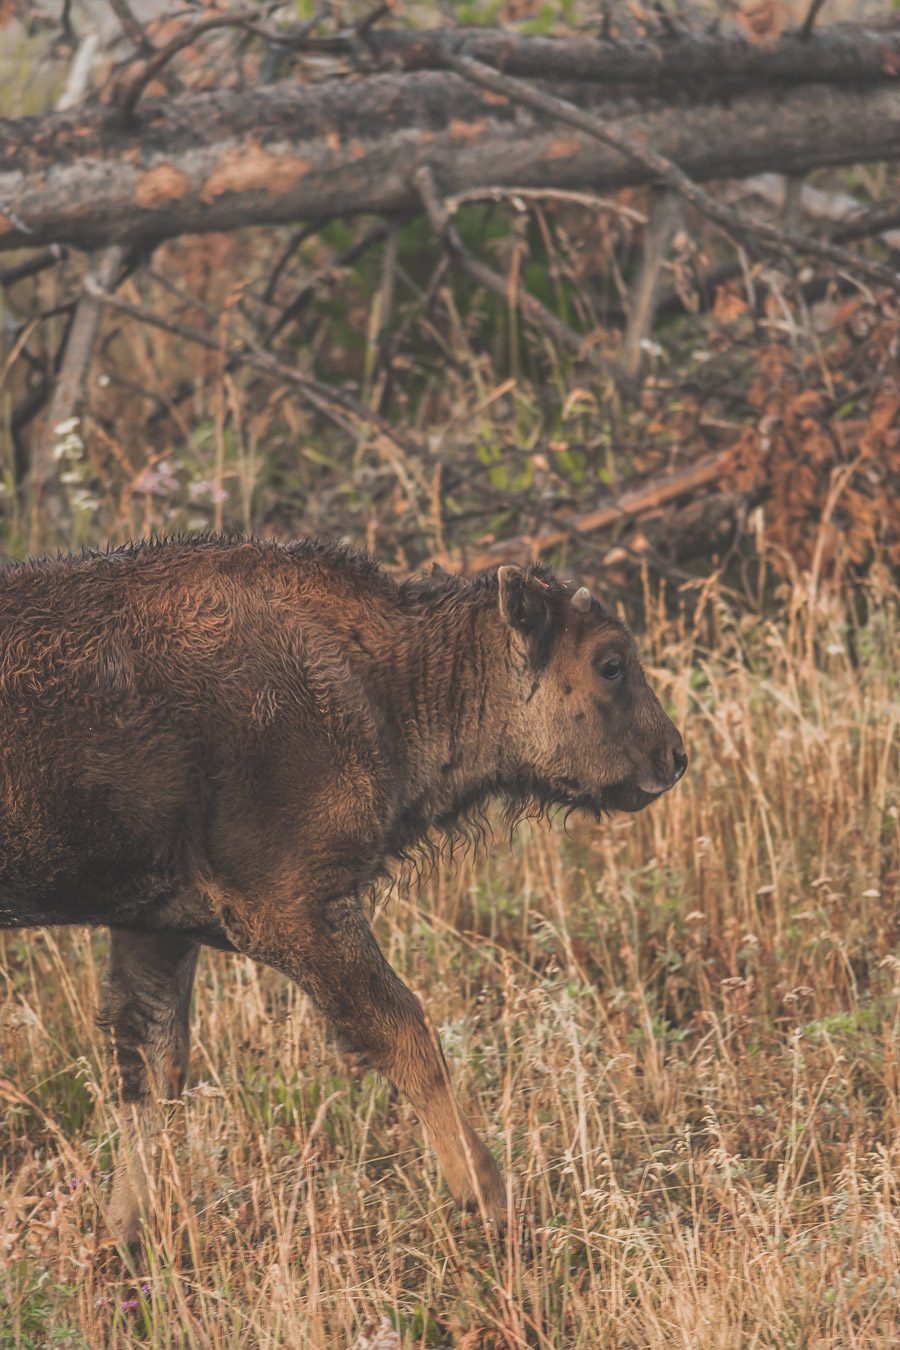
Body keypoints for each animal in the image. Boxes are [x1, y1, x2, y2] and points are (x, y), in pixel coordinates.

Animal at [0, 534, 685, 1242]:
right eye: (610, 663)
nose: (675, 757)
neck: (380, 681)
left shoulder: (153, 928)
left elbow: (152, 1069)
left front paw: (125, 1238)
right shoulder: (294, 912)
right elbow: (408, 1032)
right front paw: (488, 1196)